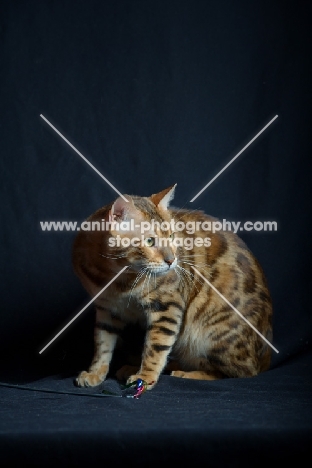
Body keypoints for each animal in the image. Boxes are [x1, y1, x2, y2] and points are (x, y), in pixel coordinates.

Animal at [73, 185, 272, 390]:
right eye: (150, 241)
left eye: (171, 236)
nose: (172, 260)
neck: (116, 279)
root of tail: (265, 359)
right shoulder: (107, 308)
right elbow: (102, 343)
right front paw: (95, 372)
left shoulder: (167, 306)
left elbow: (156, 347)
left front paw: (145, 377)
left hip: (214, 334)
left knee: (237, 372)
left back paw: (185, 373)